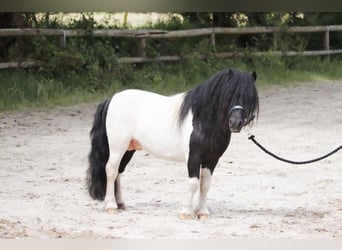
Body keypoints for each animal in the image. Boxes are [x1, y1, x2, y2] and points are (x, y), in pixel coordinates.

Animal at [86, 68, 260, 219]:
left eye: (250, 97)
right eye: (228, 94)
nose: (235, 123)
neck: (202, 120)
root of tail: (111, 100)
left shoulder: (211, 160)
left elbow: (205, 185)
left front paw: (202, 212)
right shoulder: (194, 157)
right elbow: (193, 183)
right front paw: (186, 212)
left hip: (129, 149)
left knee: (119, 173)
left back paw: (120, 203)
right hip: (117, 148)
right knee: (111, 170)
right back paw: (111, 206)